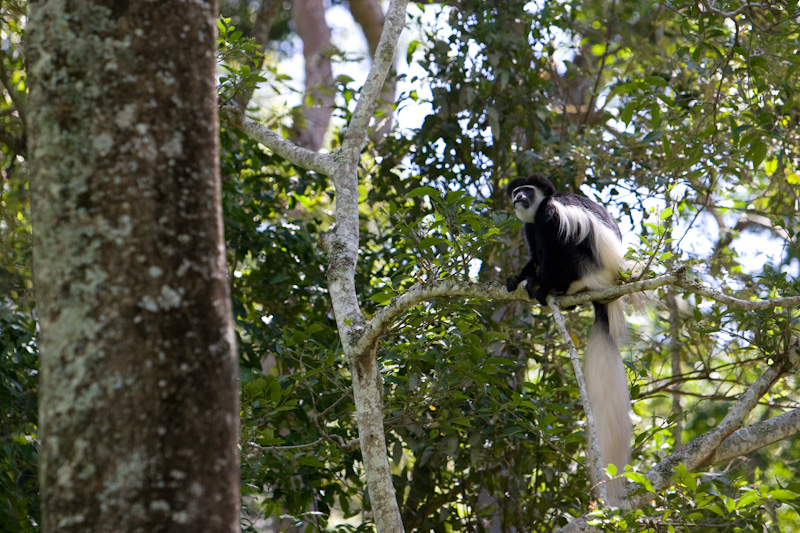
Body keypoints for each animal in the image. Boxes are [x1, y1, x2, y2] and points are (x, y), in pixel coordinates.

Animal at [506, 174, 632, 502]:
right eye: (516, 191)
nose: (518, 198)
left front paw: (538, 283)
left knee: (563, 248)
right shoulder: (530, 227)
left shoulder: (549, 216)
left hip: (585, 268)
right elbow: (533, 253)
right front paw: (517, 278)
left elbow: (551, 249)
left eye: (527, 191)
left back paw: (550, 288)